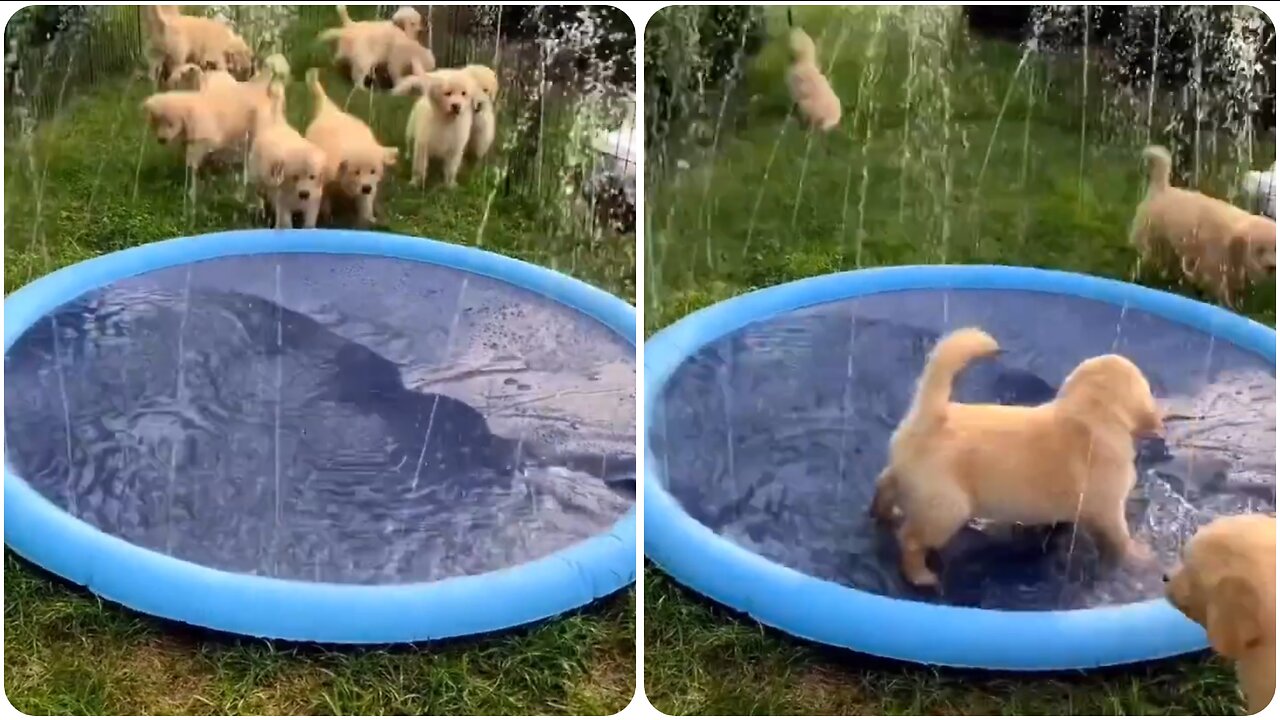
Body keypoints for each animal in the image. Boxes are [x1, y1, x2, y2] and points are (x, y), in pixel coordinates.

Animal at [303, 67, 396, 224]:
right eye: (356, 171)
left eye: (373, 171)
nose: (366, 188)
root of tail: (329, 110)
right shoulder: (324, 179)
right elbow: (324, 197)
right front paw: (327, 216)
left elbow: (365, 203)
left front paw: (369, 219)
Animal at [870, 327, 1162, 586]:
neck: (1089, 419)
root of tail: (931, 417)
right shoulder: (1108, 511)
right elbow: (1120, 540)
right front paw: (1139, 558)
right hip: (946, 508)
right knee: (910, 540)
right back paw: (919, 575)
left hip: (912, 482)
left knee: (884, 483)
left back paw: (883, 512)